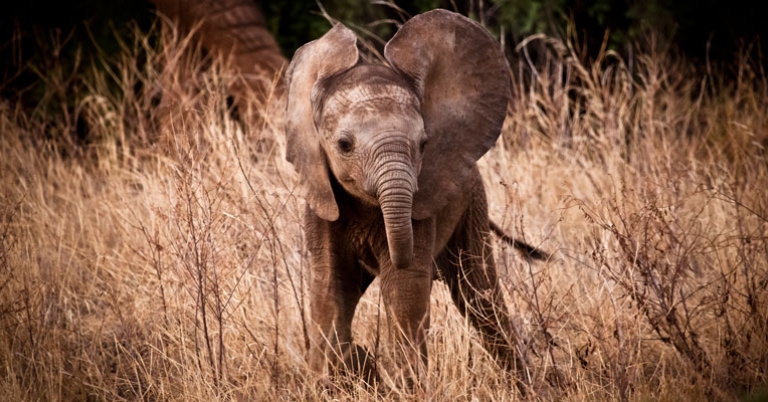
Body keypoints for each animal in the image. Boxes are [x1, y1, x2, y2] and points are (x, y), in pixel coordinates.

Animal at [285, 9, 546, 393]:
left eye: (424, 144)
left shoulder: (423, 206)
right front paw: (329, 383)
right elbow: (330, 284)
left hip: (472, 205)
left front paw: (405, 388)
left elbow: (404, 286)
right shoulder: (321, 201)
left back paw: (528, 387)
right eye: (344, 145)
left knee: (479, 296)